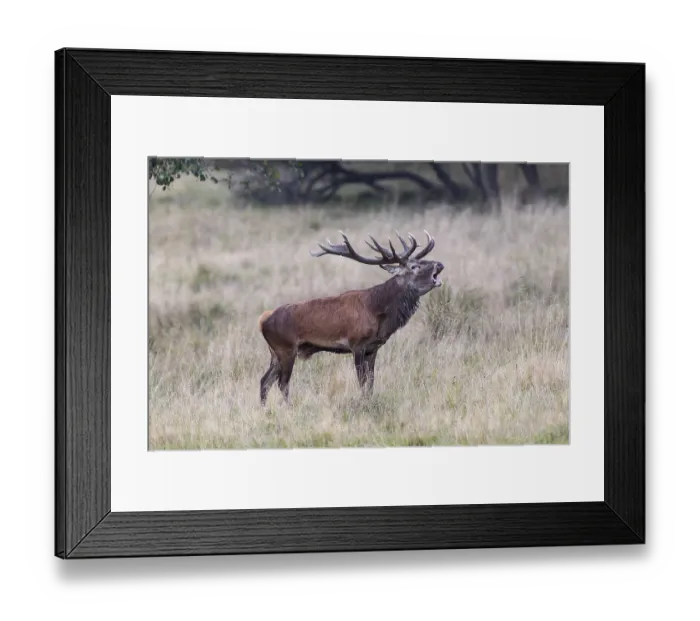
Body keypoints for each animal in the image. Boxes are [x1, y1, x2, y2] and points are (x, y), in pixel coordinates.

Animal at [257, 230, 444, 405]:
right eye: (414, 266)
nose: (440, 264)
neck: (378, 312)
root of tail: (263, 320)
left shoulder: (373, 348)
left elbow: (371, 383)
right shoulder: (357, 344)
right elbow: (362, 382)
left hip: (275, 353)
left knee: (265, 381)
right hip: (286, 348)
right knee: (282, 383)